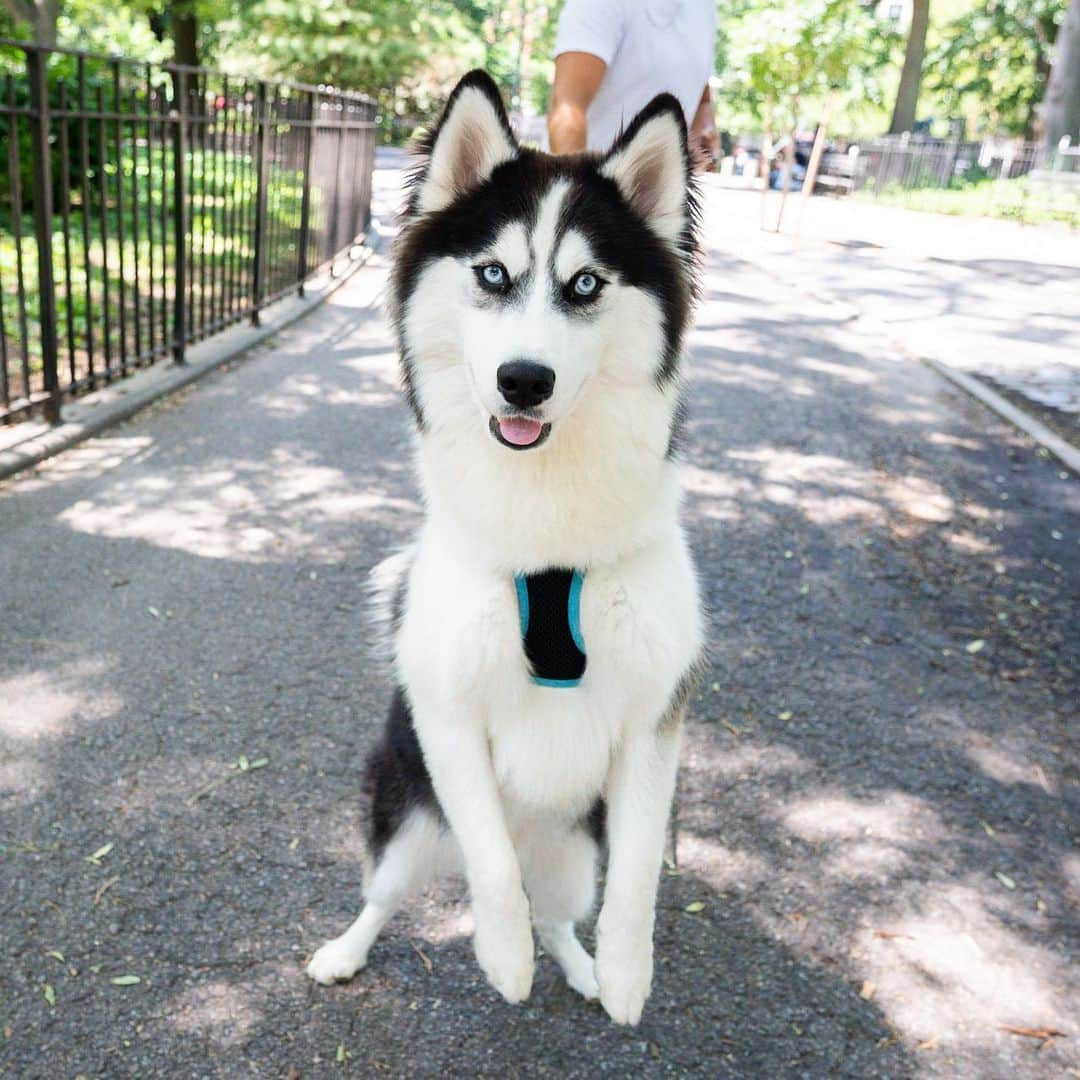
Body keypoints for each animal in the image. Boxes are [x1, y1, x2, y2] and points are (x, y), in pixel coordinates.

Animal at [306, 71, 708, 1023]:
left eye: (587, 284)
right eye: (494, 273)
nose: (524, 381)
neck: (546, 545)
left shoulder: (654, 719)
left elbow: (642, 872)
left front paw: (627, 972)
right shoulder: (448, 710)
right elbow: (489, 862)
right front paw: (502, 955)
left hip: (574, 853)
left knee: (560, 911)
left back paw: (582, 965)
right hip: (405, 822)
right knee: (392, 895)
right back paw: (348, 952)